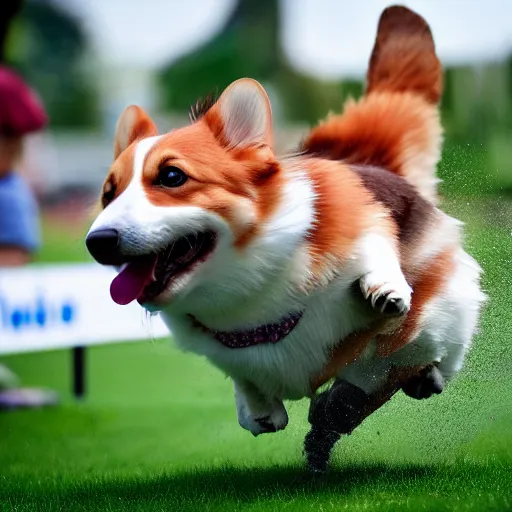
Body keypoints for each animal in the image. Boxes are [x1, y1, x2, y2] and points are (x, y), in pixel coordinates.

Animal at [85, 4, 484, 468]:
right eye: (108, 193)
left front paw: (384, 291)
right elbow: (246, 380)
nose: (98, 241)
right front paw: (261, 409)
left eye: (171, 176)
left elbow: (381, 328)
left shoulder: (383, 251)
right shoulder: (220, 349)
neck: (251, 288)